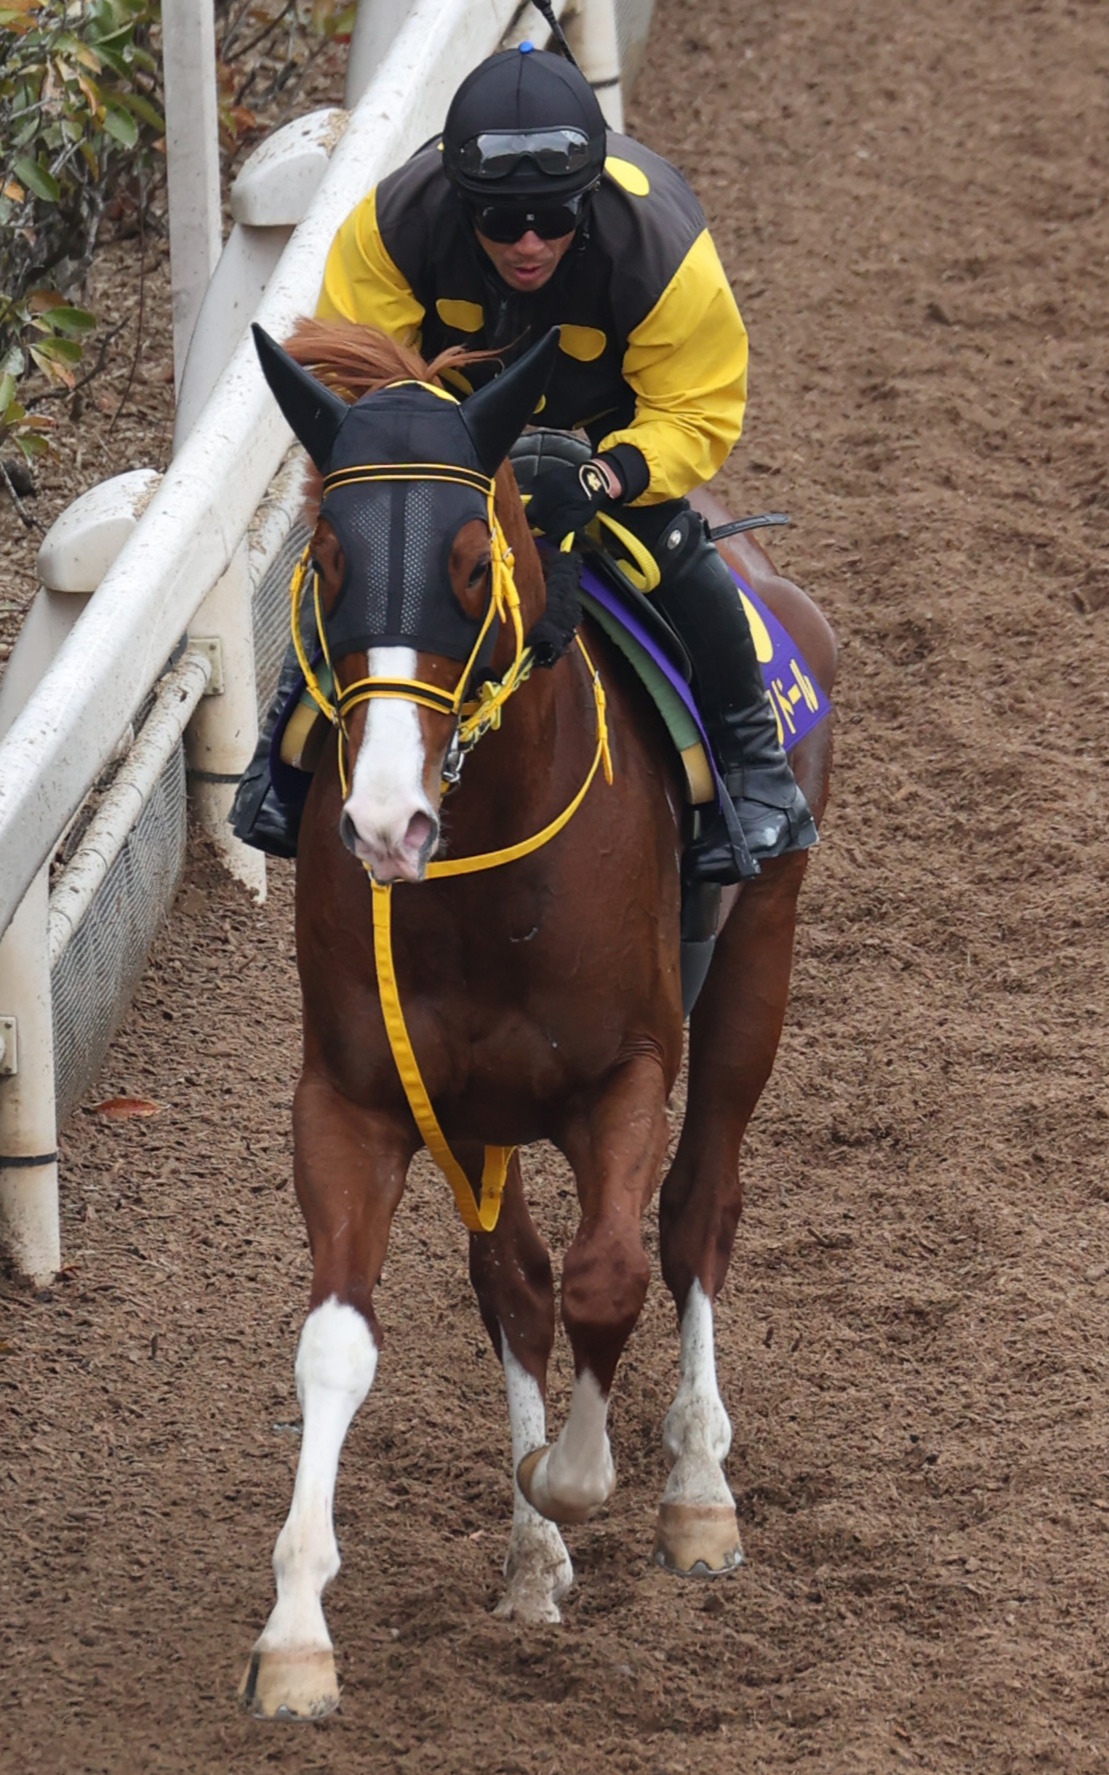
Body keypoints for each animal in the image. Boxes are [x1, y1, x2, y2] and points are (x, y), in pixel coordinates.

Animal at [238, 317, 836, 1720]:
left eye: (471, 564)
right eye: (326, 560)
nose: (383, 822)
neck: (481, 879)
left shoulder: (624, 1073)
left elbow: (611, 1273)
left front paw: (576, 1481)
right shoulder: (362, 1096)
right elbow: (340, 1342)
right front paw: (298, 1629)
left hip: (757, 958)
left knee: (696, 1211)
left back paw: (696, 1488)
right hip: (476, 1107)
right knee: (509, 1281)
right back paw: (529, 1567)